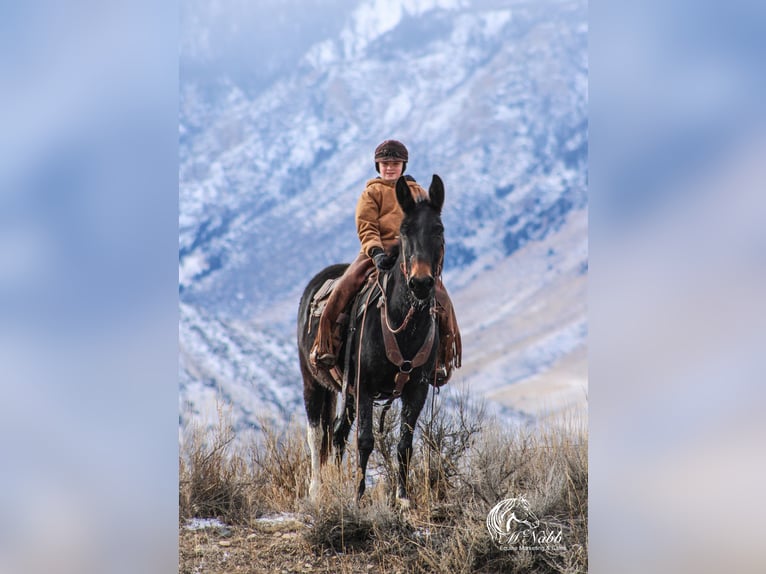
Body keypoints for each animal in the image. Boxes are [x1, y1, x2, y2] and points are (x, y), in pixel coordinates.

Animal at [296, 176, 448, 508]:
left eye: (439, 229)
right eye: (404, 231)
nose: (420, 283)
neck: (404, 326)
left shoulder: (416, 390)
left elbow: (404, 444)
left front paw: (403, 498)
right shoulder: (364, 386)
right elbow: (365, 440)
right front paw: (358, 496)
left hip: (348, 392)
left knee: (338, 433)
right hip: (313, 382)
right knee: (317, 434)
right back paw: (316, 491)